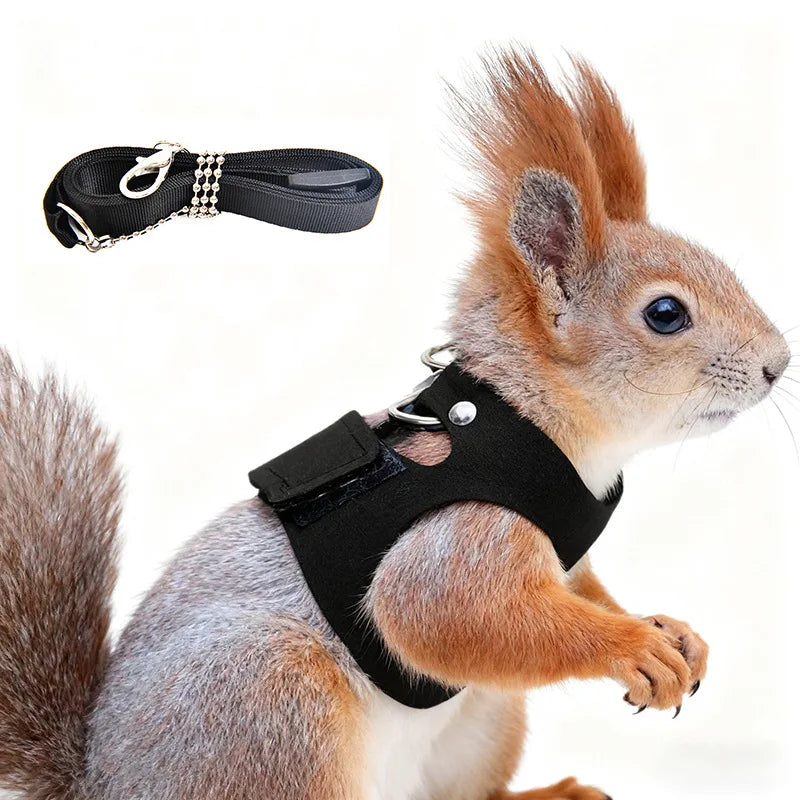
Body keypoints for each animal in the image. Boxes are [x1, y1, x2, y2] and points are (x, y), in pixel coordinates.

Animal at [0, 47, 791, 800]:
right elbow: (444, 616)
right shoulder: (458, 539)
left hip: (482, 721)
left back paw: (550, 795)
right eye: (666, 313)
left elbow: (583, 593)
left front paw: (669, 630)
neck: (536, 429)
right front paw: (634, 647)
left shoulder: (566, 557)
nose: (779, 364)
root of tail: (101, 781)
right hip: (269, 700)